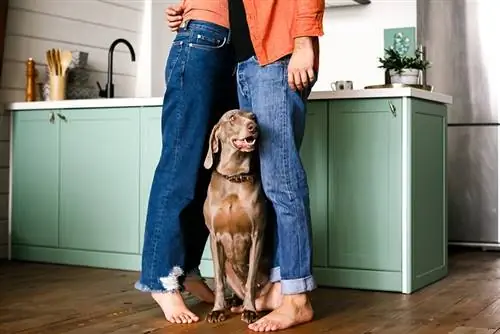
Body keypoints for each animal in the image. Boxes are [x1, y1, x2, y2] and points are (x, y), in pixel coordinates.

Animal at [203, 109, 272, 324]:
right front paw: (217, 310)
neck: (234, 178)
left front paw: (249, 310)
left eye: (254, 117)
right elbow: (218, 279)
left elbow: (250, 279)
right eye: (232, 118)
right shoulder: (214, 236)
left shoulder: (257, 235)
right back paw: (232, 301)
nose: (253, 127)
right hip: (229, 267)